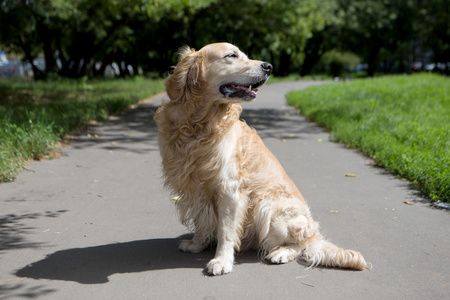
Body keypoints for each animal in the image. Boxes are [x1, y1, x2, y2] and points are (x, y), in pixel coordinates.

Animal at [155, 42, 366, 276]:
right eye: (232, 55)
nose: (269, 66)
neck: (199, 123)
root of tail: (314, 233)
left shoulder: (230, 190)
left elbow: (226, 231)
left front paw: (222, 261)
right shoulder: (195, 189)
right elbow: (201, 221)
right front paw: (196, 244)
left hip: (268, 205)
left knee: (300, 245)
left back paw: (281, 253)